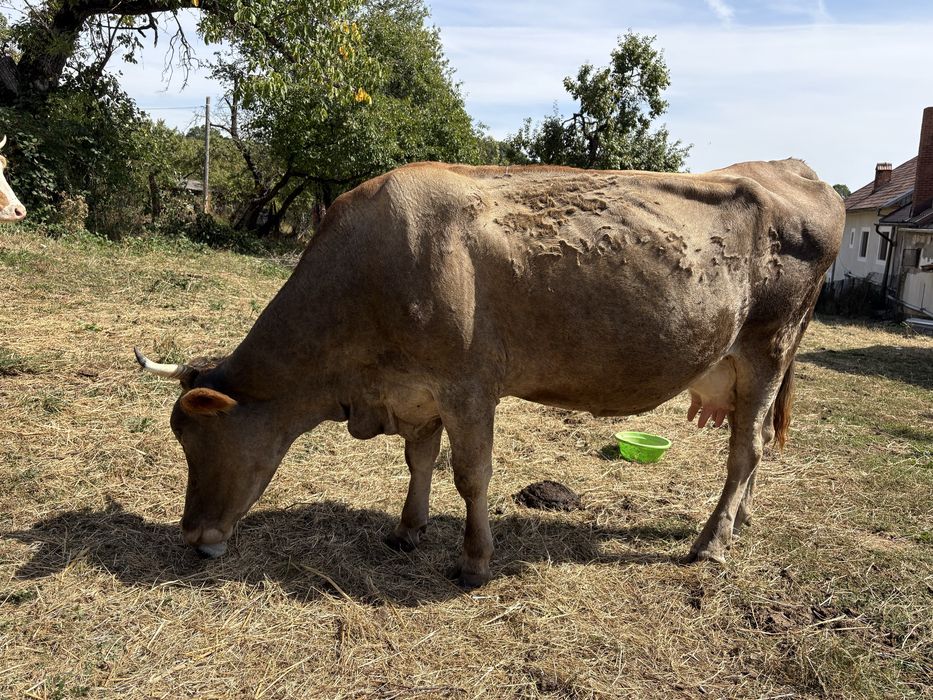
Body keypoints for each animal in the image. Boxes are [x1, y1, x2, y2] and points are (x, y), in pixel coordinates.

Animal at [136, 159, 844, 588]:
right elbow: (419, 460)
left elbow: (471, 475)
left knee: (746, 450)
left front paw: (475, 561)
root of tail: (794, 171)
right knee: (754, 446)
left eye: (197, 440)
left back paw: (712, 544)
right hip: (751, 365)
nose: (193, 535)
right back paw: (740, 522)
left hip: (768, 347)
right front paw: (407, 530)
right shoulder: (414, 391)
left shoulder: (468, 388)